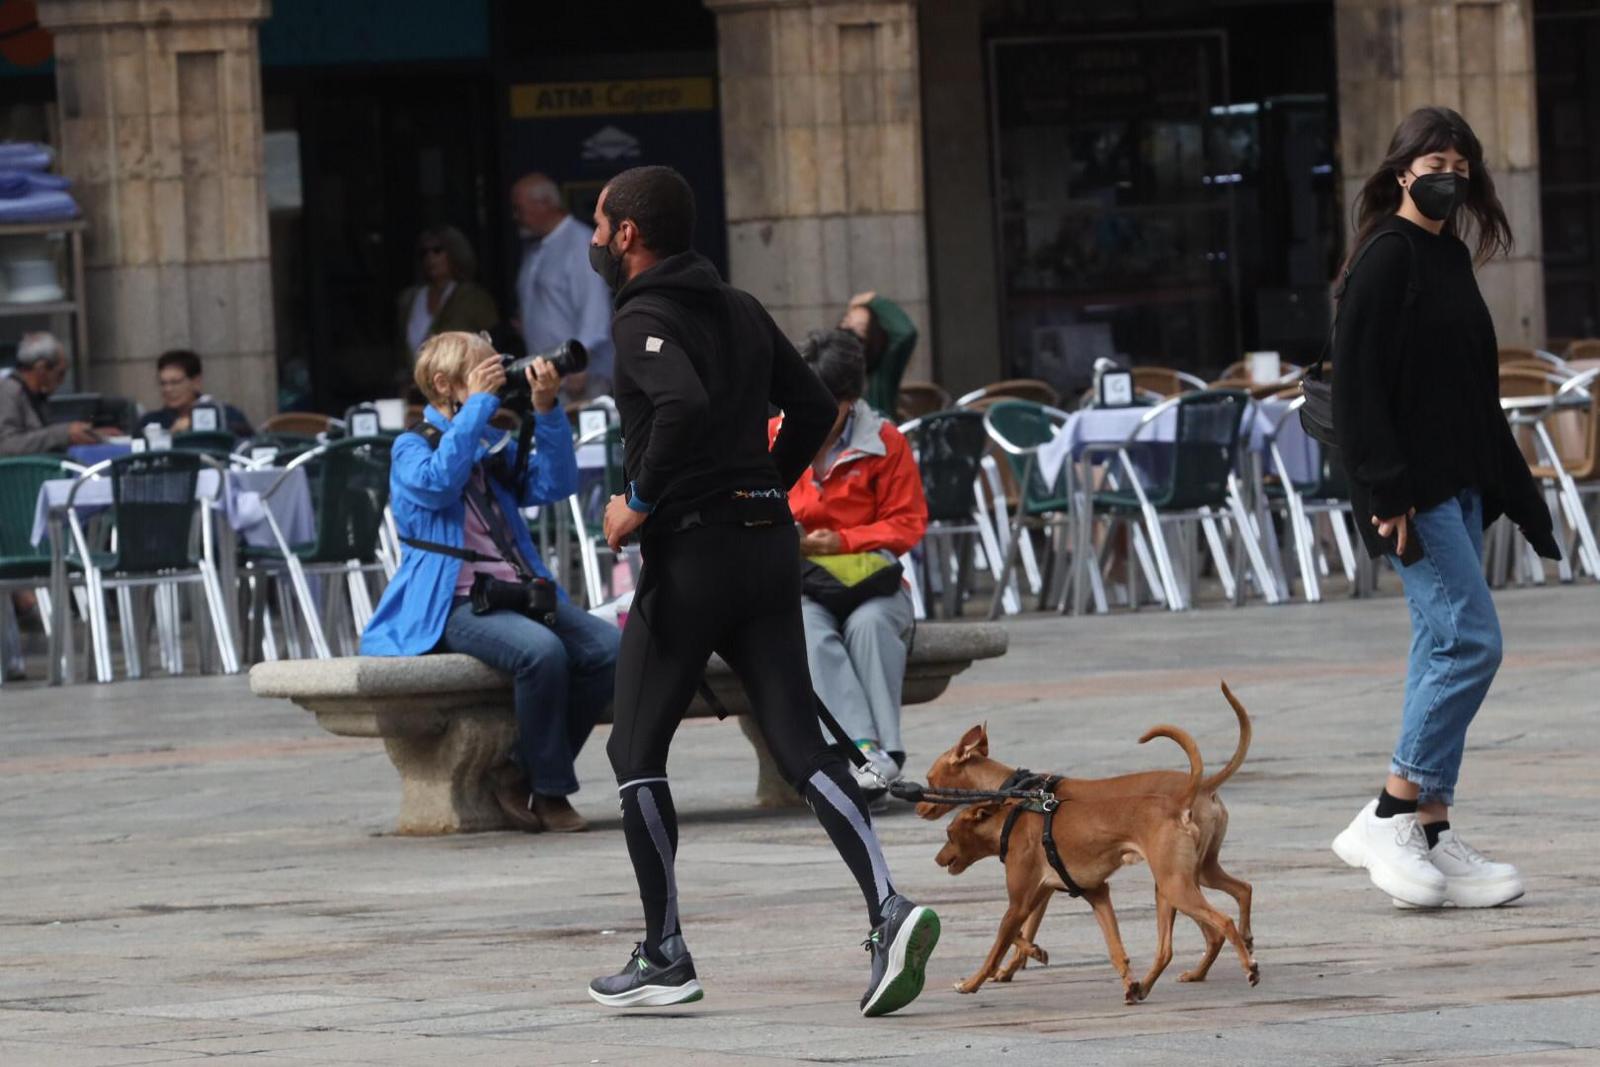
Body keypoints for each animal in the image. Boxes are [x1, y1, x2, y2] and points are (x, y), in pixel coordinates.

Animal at [928, 684, 1248, 1004]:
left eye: (930, 779)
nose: (937, 859)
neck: (1017, 798)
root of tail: (1202, 787)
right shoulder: (1081, 891)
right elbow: (1041, 936)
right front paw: (1023, 961)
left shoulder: (1027, 898)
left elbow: (1008, 938)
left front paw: (984, 978)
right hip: (1194, 874)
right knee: (1238, 895)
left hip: (1176, 882)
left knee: (1218, 926)